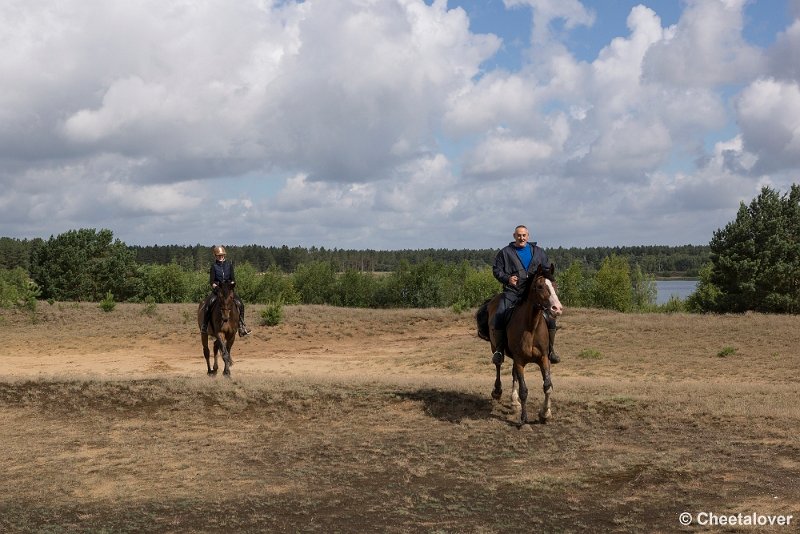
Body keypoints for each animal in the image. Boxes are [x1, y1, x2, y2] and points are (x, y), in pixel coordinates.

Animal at [478, 264, 564, 428]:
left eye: (555, 285)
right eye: (540, 286)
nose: (557, 308)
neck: (531, 327)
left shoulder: (543, 358)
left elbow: (547, 386)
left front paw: (545, 414)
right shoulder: (519, 360)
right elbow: (524, 390)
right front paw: (524, 419)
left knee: (513, 375)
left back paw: (514, 402)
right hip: (495, 347)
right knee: (498, 364)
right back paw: (497, 391)